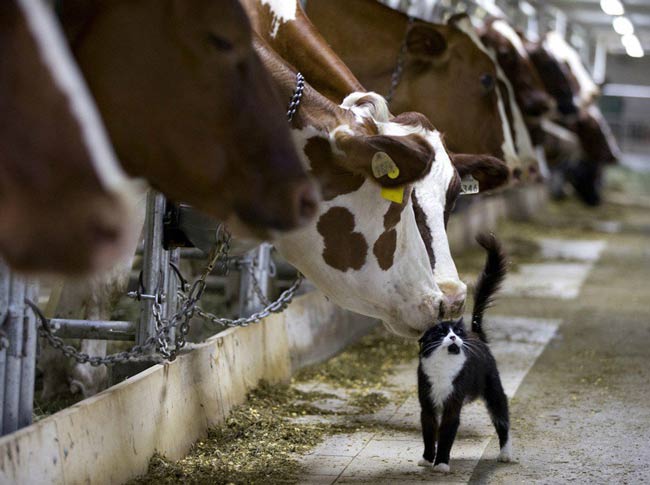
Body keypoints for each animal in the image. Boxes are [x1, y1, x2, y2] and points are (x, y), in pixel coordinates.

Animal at [418, 233, 508, 470]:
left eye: (456, 331)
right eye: (441, 332)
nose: (453, 336)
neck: (443, 367)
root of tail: (477, 335)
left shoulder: (452, 405)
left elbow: (447, 434)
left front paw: (441, 463)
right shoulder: (427, 404)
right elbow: (429, 433)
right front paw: (427, 459)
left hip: (494, 391)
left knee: (503, 419)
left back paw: (505, 454)